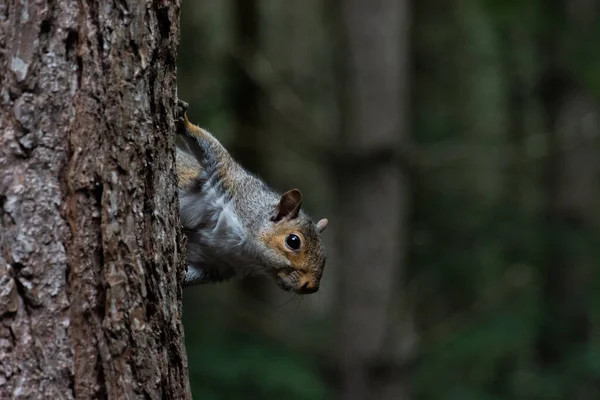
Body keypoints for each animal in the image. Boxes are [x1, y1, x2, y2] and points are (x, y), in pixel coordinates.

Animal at [175, 100, 328, 294]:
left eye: (324, 255)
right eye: (293, 241)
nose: (311, 287)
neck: (243, 249)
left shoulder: (216, 264)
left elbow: (195, 272)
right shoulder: (230, 183)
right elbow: (215, 152)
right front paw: (185, 122)